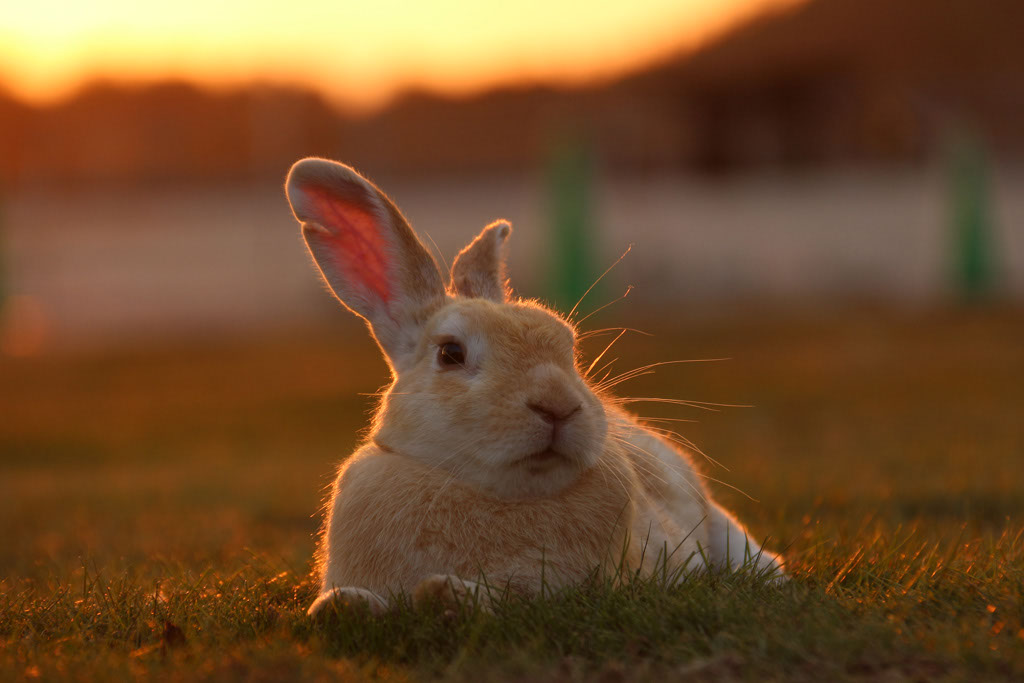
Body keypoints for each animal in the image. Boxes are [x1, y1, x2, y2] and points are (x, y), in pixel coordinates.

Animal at [284, 158, 785, 617]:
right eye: (450, 353)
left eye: (569, 347)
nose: (558, 407)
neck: (497, 492)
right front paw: (341, 604)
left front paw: (450, 594)